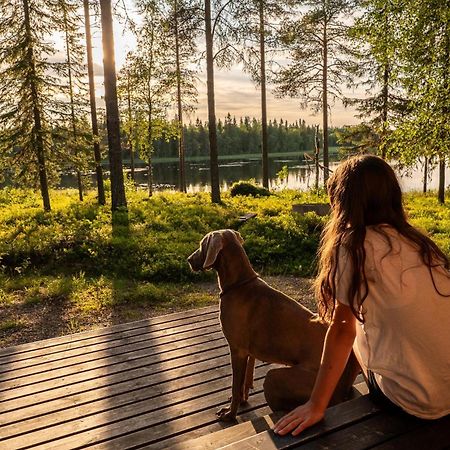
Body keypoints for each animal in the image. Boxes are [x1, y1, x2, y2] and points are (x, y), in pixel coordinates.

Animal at [186, 230, 358, 420]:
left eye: (202, 245)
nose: (188, 259)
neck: (239, 284)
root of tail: (344, 388)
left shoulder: (237, 350)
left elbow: (235, 385)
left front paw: (230, 413)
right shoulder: (248, 351)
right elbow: (245, 380)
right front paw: (243, 399)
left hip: (274, 379)